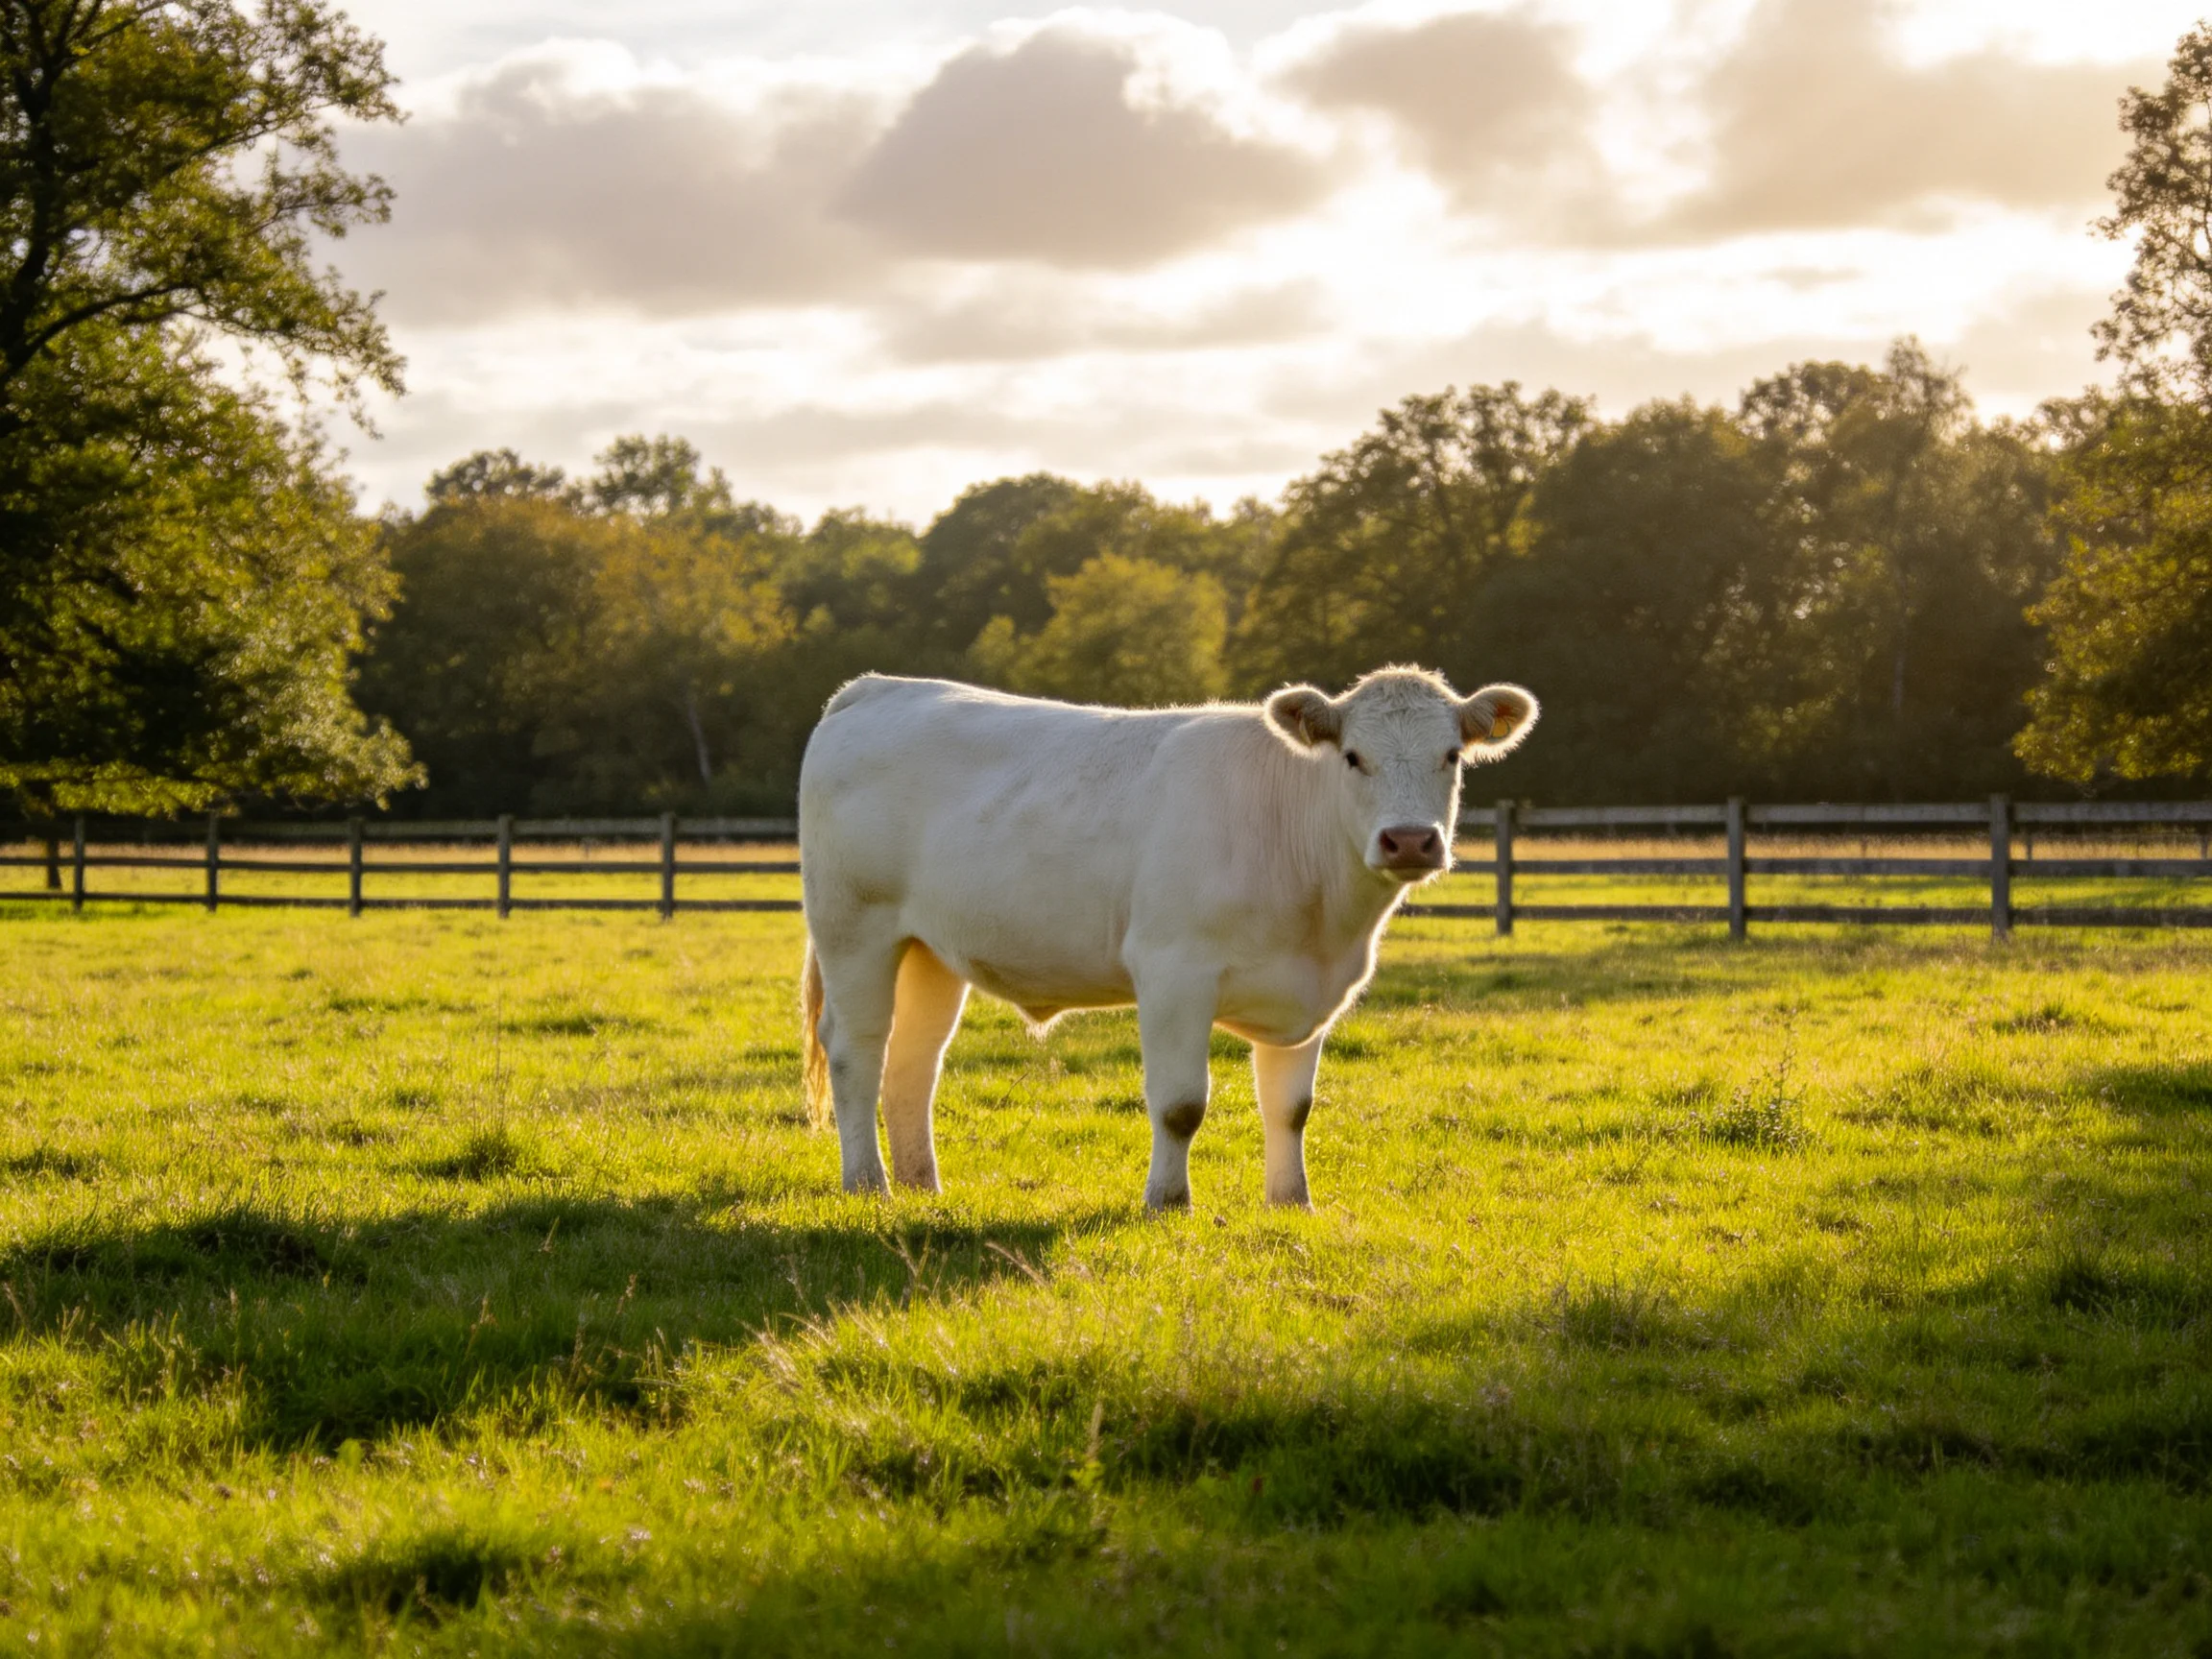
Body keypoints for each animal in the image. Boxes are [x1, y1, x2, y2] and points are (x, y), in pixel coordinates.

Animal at [797, 666, 1538, 1209]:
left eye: (1451, 756)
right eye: (1354, 758)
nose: (1409, 840)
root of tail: (878, 687)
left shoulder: (1310, 990)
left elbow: (1292, 1107)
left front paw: (1291, 1201)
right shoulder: (1173, 973)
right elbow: (1181, 1105)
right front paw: (1167, 1201)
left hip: (930, 951)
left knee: (915, 1062)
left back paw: (923, 1185)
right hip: (854, 930)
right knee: (857, 1051)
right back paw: (868, 1185)